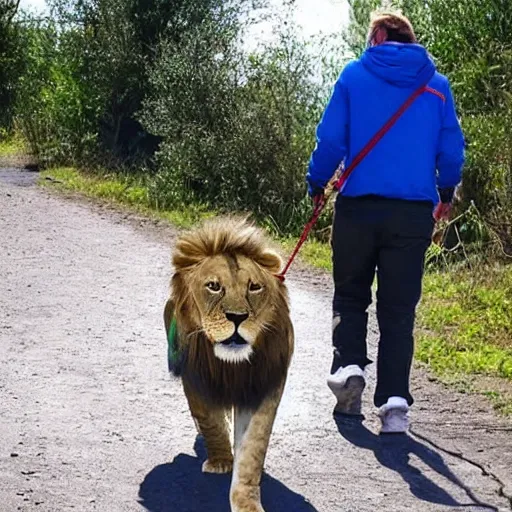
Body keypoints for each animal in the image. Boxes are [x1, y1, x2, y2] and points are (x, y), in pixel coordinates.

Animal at [163, 216, 292, 512]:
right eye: (213, 286)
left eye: (254, 287)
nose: (237, 317)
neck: (231, 366)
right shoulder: (196, 380)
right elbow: (210, 420)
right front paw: (221, 461)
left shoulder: (263, 387)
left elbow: (252, 449)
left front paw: (247, 502)